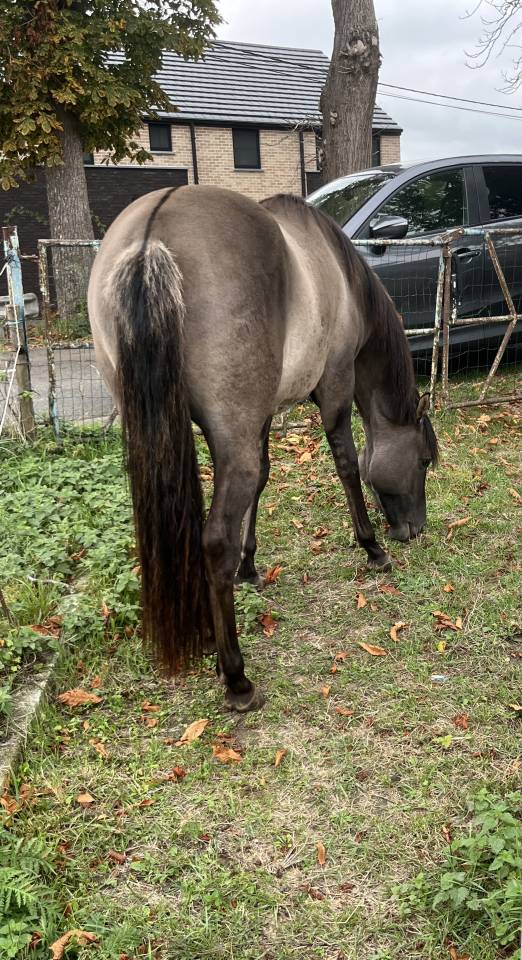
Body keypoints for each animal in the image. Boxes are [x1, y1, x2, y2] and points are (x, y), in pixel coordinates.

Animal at [87, 185, 438, 712]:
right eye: (422, 461)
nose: (412, 529)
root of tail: (151, 236)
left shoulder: (264, 413)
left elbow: (267, 475)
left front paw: (250, 567)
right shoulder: (335, 385)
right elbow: (346, 464)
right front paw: (372, 547)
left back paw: (208, 635)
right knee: (215, 539)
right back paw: (236, 677)